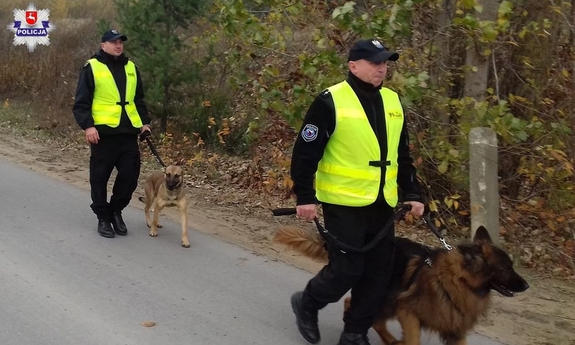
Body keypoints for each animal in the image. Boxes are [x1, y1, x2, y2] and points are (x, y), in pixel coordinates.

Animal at [274, 224, 532, 342]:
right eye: (505, 269)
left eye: (512, 266)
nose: (527, 286)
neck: (460, 279)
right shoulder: (409, 313)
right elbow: (413, 341)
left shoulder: (454, 330)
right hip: (387, 297)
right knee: (356, 307)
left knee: (365, 312)